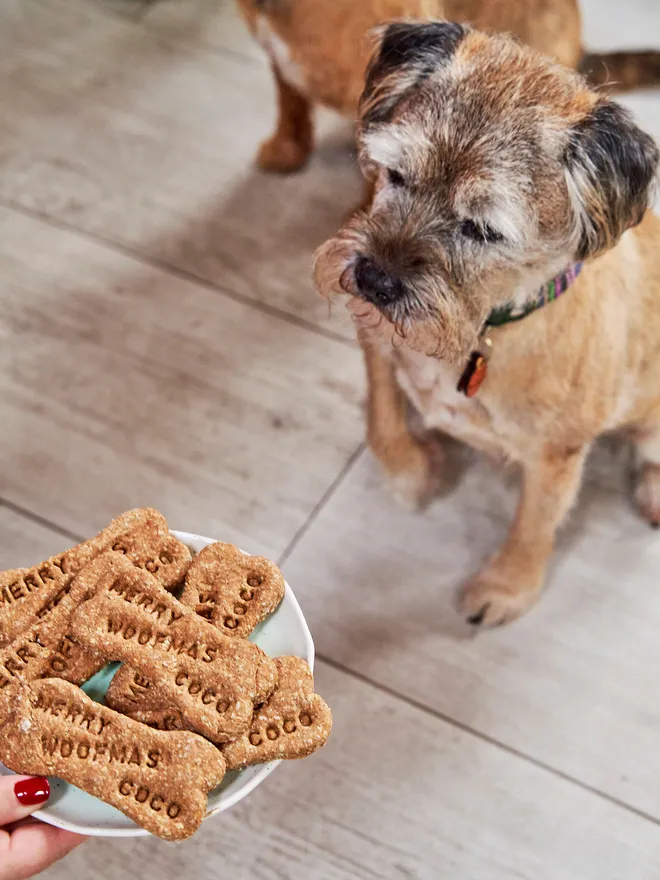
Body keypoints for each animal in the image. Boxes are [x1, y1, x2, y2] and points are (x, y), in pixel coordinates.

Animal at [314, 20, 660, 624]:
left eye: (482, 229)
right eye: (395, 173)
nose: (374, 279)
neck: (485, 326)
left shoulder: (555, 458)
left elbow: (533, 524)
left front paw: (506, 587)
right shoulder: (374, 343)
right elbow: (382, 420)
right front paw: (411, 472)